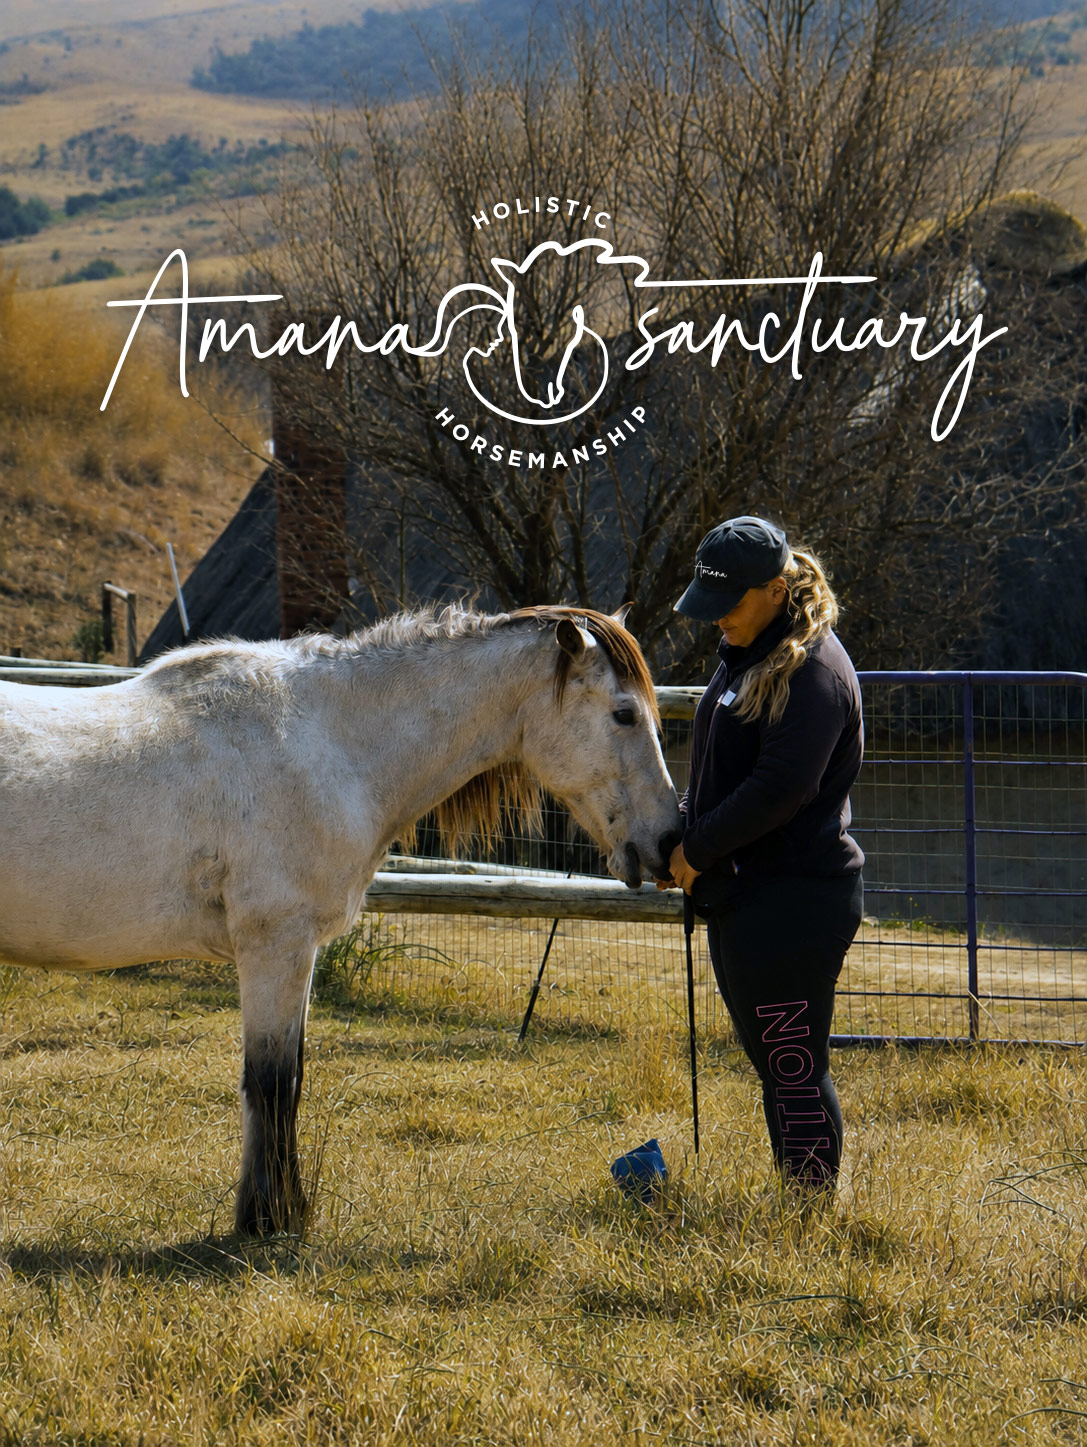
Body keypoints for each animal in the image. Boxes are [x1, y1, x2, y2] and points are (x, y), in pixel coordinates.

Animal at [0, 604, 681, 1236]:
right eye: (624, 713)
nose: (669, 841)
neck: (323, 742)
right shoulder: (277, 946)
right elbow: (271, 1083)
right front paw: (269, 1220)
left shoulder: (299, 952)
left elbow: (292, 1080)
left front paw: (283, 1210)